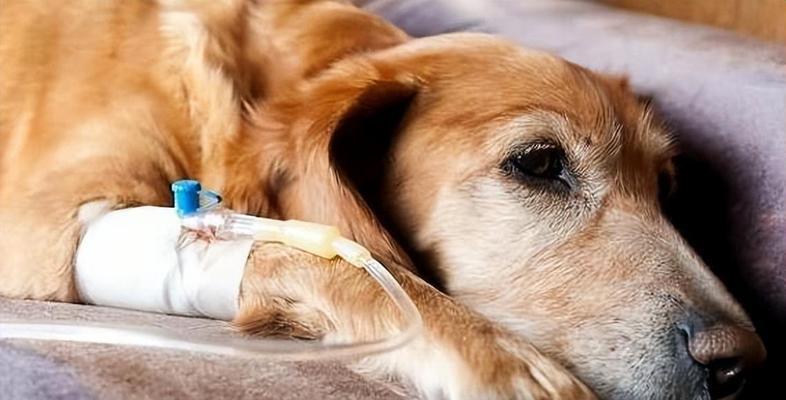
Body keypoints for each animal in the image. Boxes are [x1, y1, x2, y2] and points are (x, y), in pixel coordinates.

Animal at [0, 1, 766, 399]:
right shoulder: (46, 226)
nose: (741, 365)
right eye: (540, 163)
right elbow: (355, 262)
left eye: (666, 190)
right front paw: (499, 358)